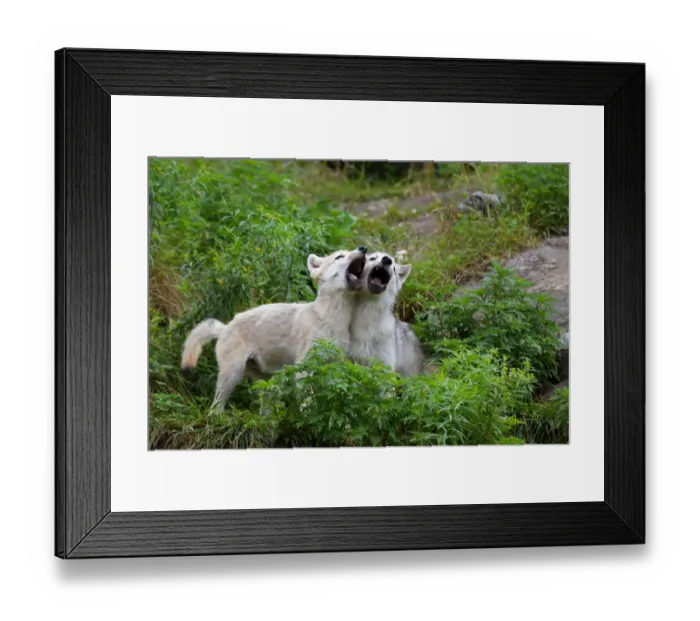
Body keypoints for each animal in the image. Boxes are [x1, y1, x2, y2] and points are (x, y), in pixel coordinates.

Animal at [181, 246, 367, 411]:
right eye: (340, 256)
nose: (363, 248)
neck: (331, 320)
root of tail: (225, 327)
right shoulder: (303, 369)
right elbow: (308, 403)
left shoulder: (333, 368)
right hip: (233, 375)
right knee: (215, 407)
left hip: (269, 385)